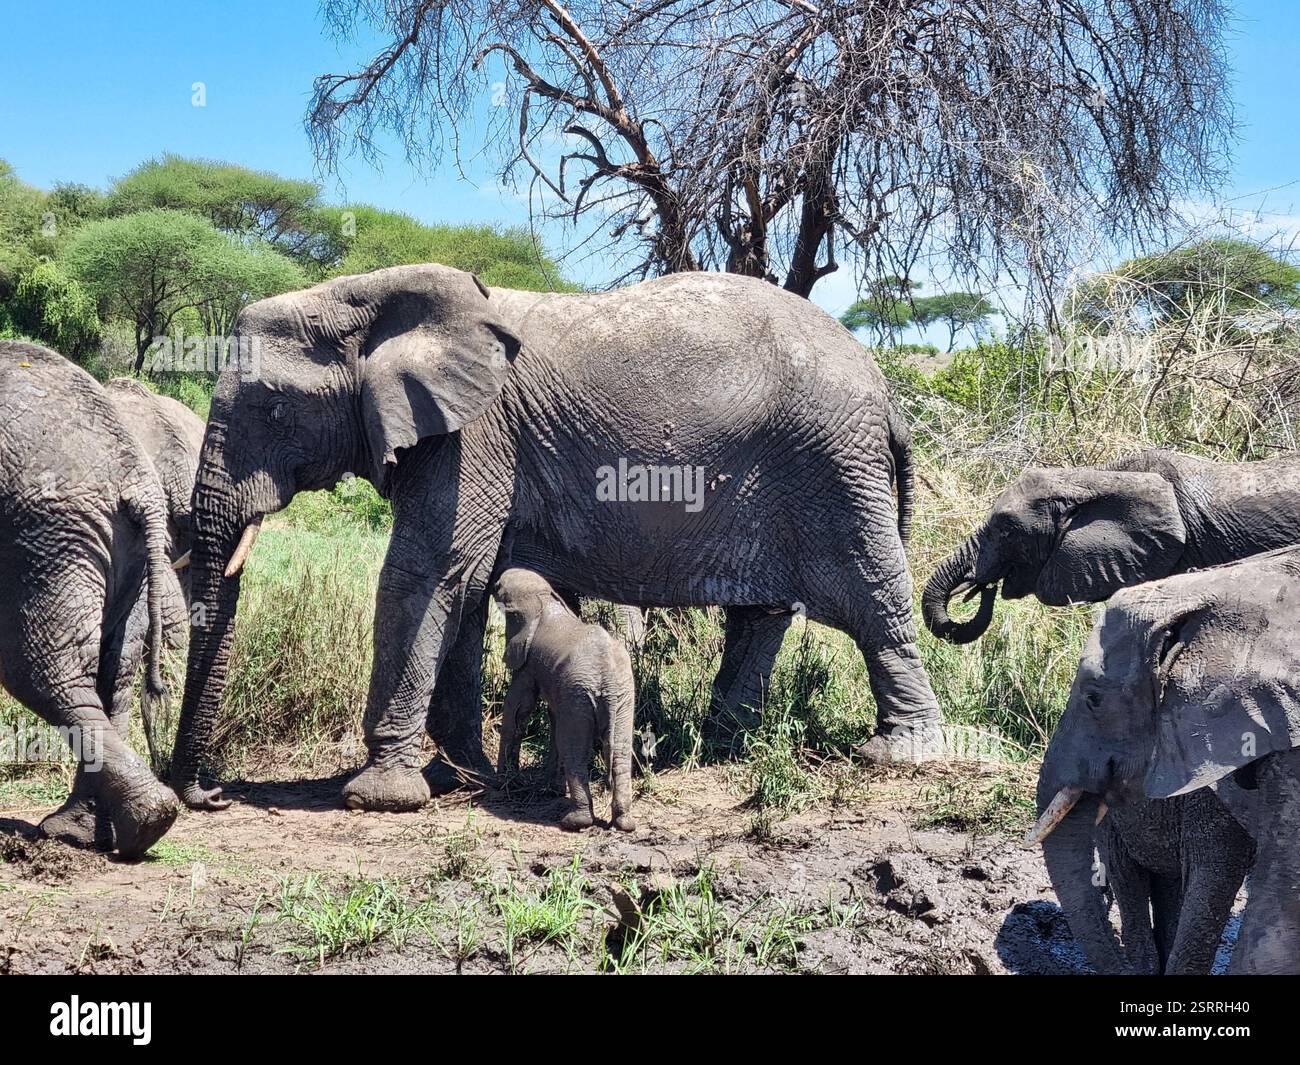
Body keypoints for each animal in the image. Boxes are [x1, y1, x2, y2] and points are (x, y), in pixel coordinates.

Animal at [0, 341, 179, 856]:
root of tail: (138, 483)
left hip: (47, 537)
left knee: (40, 671)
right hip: (126, 552)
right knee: (112, 676)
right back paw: (110, 830)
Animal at [494, 567, 636, 832]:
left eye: (498, 585)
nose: (497, 577)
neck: (543, 598)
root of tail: (607, 675)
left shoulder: (528, 661)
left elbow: (519, 707)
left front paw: (501, 784)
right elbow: (551, 716)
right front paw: (550, 789)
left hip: (581, 694)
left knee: (575, 748)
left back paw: (574, 821)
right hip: (621, 696)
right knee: (620, 751)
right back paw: (625, 823)